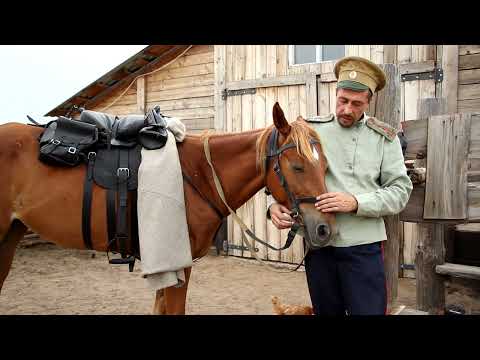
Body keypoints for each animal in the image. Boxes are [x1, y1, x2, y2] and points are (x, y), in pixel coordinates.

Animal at [0, 102, 336, 316]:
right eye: (297, 166)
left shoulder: (167, 266)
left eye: (325, 166)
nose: (324, 229)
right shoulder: (176, 264)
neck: (197, 173)